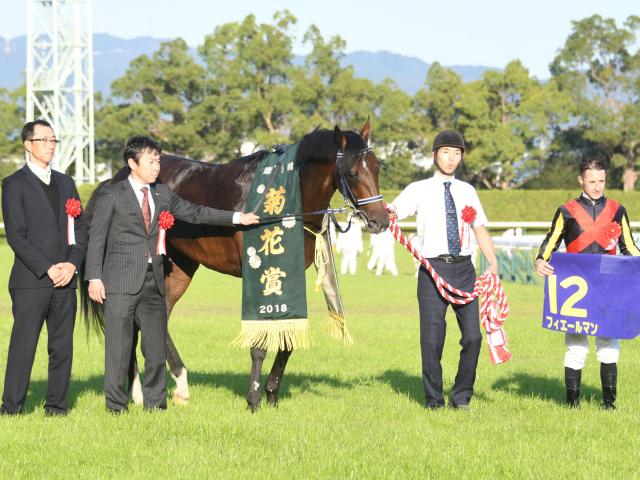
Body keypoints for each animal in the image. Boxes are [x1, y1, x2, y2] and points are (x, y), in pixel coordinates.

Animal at [82, 119, 388, 408]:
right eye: (352, 172)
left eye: (377, 166)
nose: (380, 221)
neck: (285, 198)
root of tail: (113, 179)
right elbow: (259, 343)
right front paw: (253, 398)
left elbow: (287, 339)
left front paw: (272, 394)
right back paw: (138, 391)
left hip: (177, 268)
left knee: (156, 318)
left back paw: (177, 386)